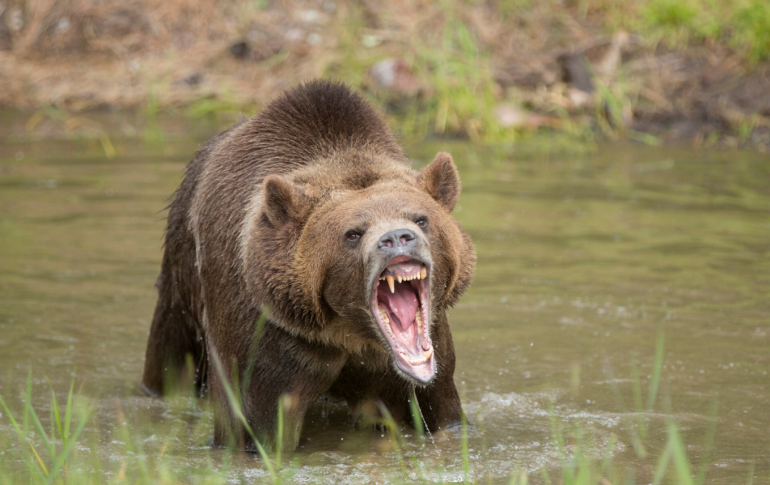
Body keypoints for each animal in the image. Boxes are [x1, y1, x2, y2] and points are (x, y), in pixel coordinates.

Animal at [140, 78, 474, 450]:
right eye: (353, 233)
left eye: (421, 218)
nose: (397, 237)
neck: (350, 333)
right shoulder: (271, 337)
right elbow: (255, 424)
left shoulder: (427, 355)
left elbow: (440, 409)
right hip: (183, 275)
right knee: (171, 353)